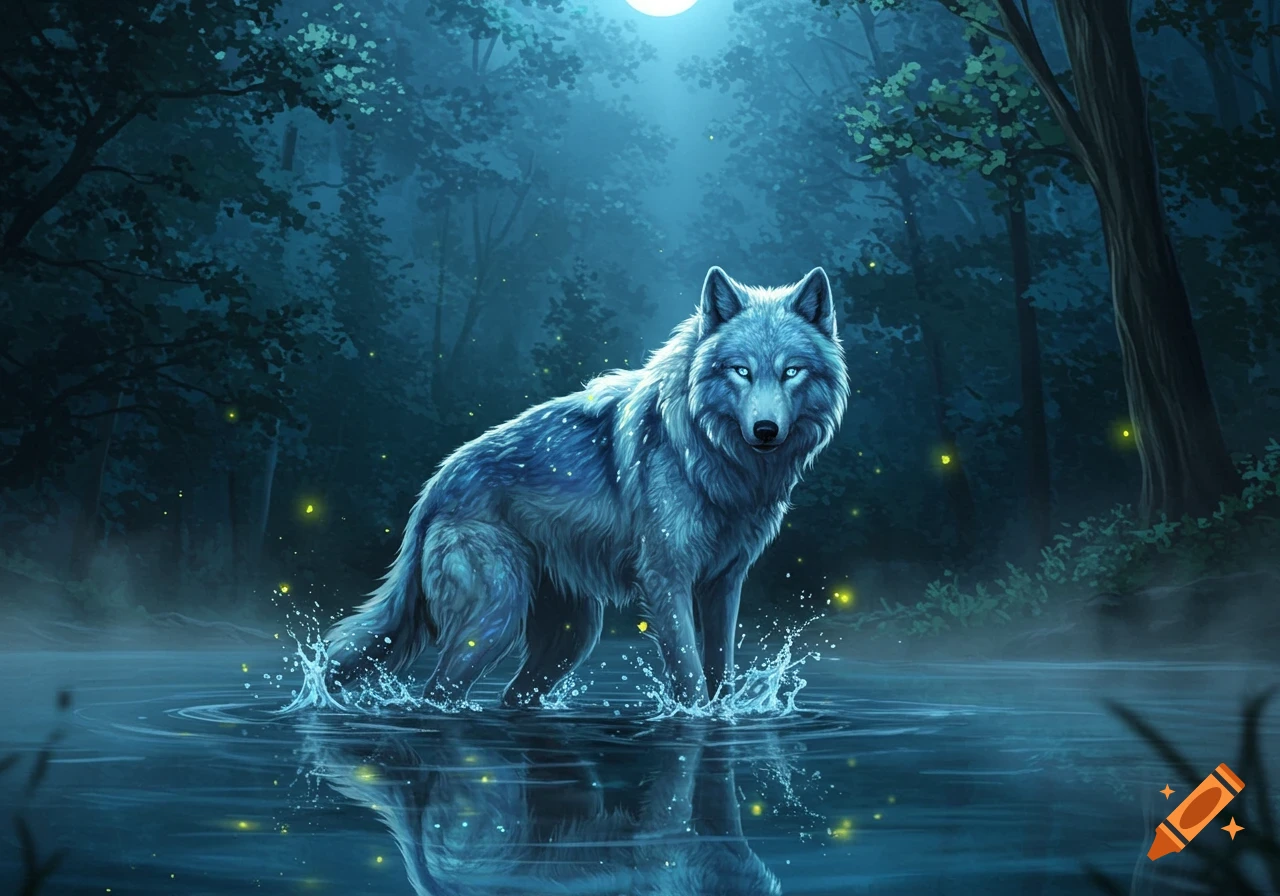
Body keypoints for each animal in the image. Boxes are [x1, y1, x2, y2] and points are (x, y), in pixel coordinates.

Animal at [324, 265, 849, 707]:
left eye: (791, 371)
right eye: (741, 370)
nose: (766, 430)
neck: (710, 455)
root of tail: (435, 485)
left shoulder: (724, 584)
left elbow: (721, 671)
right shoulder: (667, 580)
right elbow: (691, 675)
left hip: (571, 638)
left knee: (511, 696)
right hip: (494, 622)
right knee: (437, 692)